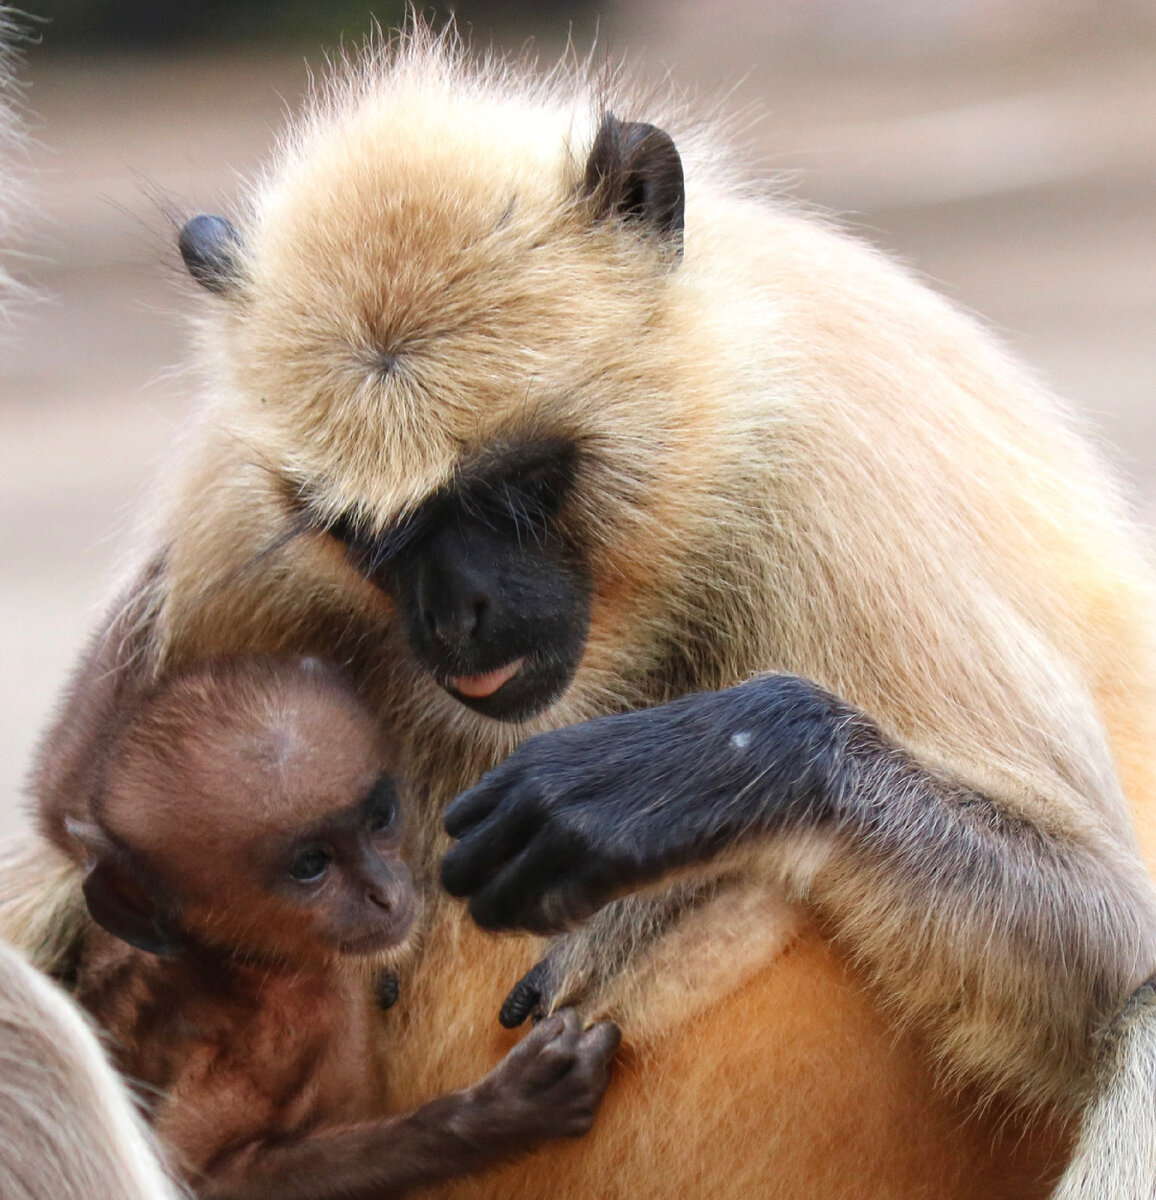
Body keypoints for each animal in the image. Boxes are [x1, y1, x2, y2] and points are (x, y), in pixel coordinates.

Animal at [63, 657, 624, 1200]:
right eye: (312, 864)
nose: (385, 892)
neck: (243, 968)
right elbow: (202, 1180)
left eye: (380, 818)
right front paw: (501, 1112)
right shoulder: (283, 1029)